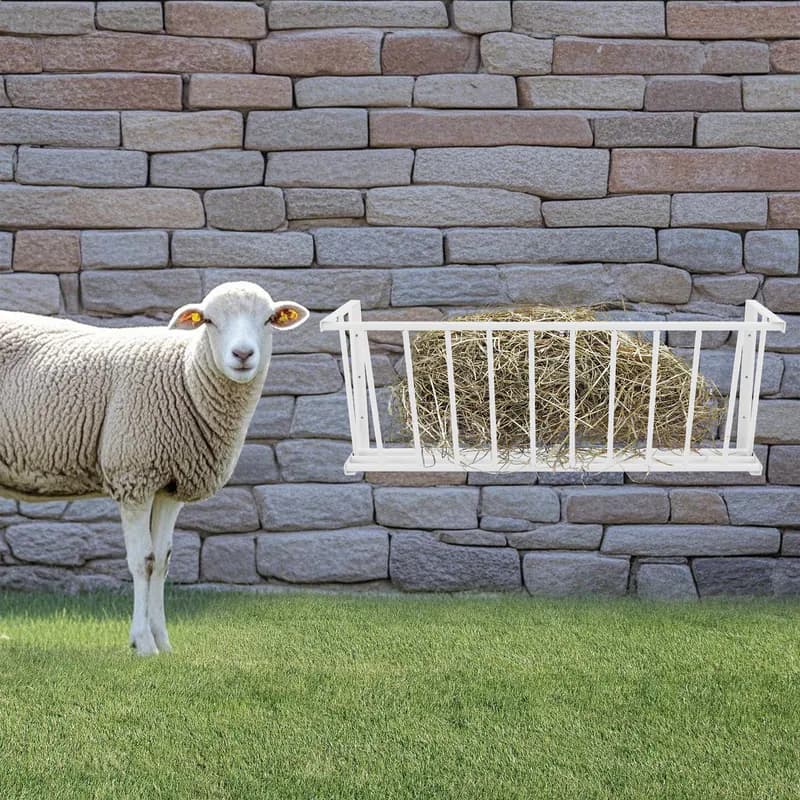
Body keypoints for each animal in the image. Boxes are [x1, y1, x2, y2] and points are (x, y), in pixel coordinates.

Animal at [0, 281, 309, 655]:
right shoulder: (134, 475)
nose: (243, 354)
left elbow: (162, 561)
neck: (186, 375)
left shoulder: (171, 486)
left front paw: (163, 644)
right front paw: (143, 644)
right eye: (209, 320)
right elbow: (142, 561)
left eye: (268, 320)